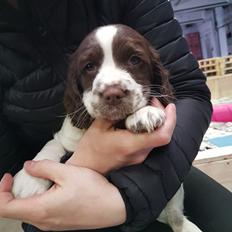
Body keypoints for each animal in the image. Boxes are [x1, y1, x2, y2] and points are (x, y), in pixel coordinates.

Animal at [12, 24, 201, 232]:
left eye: (135, 60)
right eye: (89, 66)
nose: (112, 93)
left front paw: (144, 114)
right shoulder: (66, 136)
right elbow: (52, 146)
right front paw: (28, 179)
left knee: (175, 215)